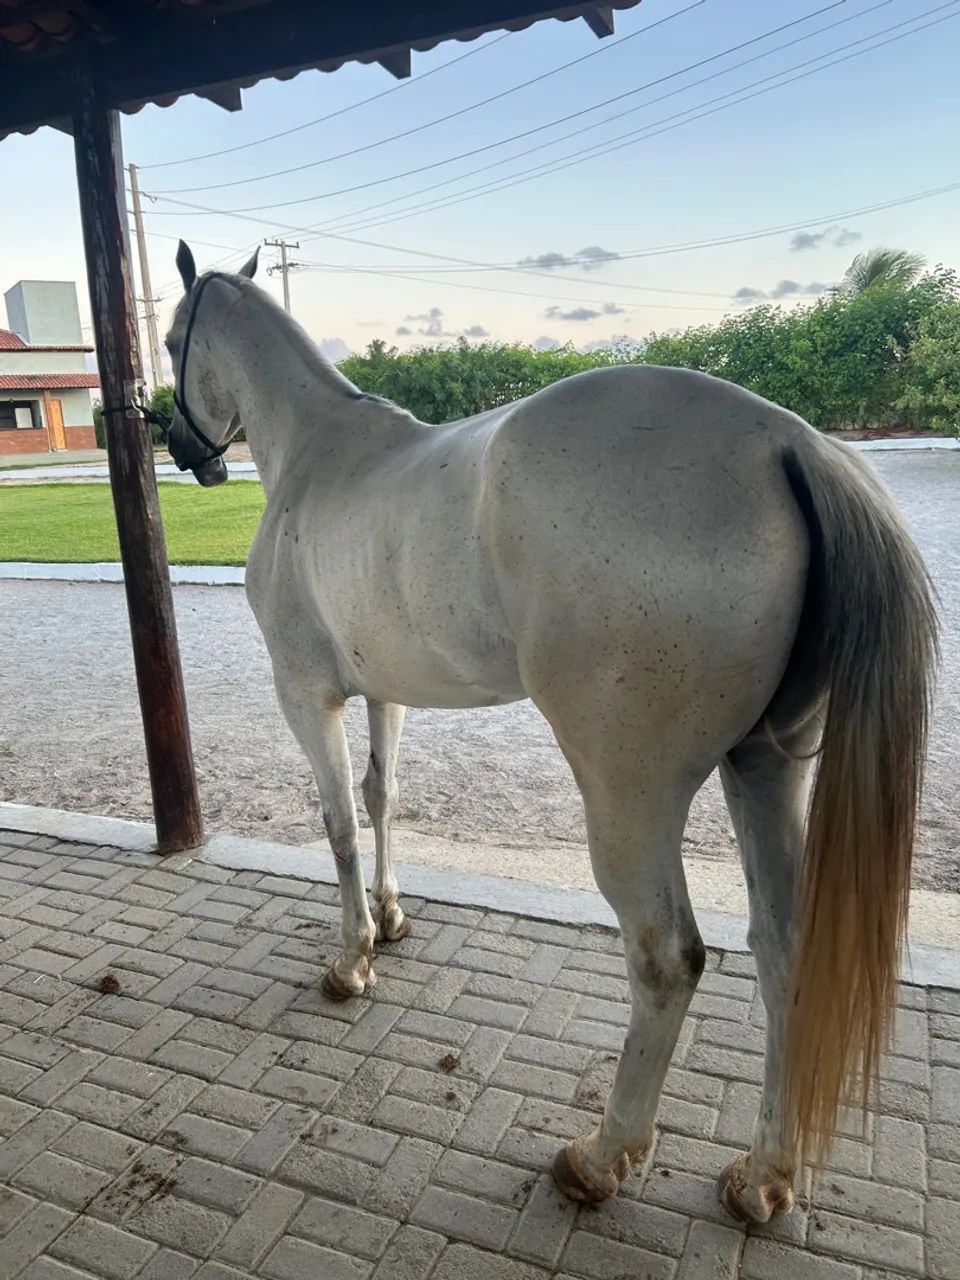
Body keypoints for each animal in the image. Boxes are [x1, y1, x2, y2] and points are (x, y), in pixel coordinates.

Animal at [164, 242, 937, 1221]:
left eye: (172, 338)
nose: (184, 451)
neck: (317, 454)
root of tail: (784, 437)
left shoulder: (307, 694)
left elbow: (337, 823)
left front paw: (351, 959)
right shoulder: (384, 691)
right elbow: (383, 799)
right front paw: (392, 917)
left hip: (628, 795)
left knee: (666, 958)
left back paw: (603, 1156)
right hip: (764, 766)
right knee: (784, 948)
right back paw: (765, 1172)